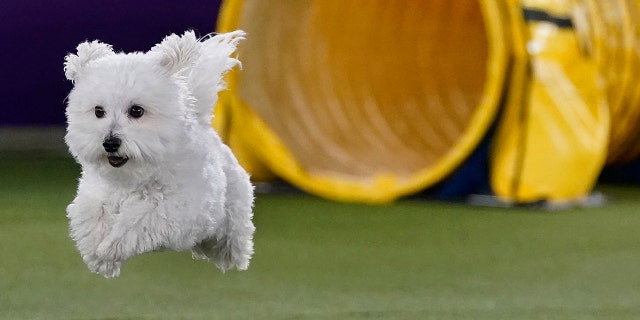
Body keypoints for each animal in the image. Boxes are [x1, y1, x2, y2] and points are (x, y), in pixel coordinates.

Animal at [63, 31, 254, 278]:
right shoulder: (95, 195)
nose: (110, 143)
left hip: (233, 210)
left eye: (136, 111)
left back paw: (235, 258)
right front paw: (99, 256)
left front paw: (110, 248)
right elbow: (93, 217)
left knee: (232, 239)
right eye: (98, 111)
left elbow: (139, 221)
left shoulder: (177, 208)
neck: (135, 175)